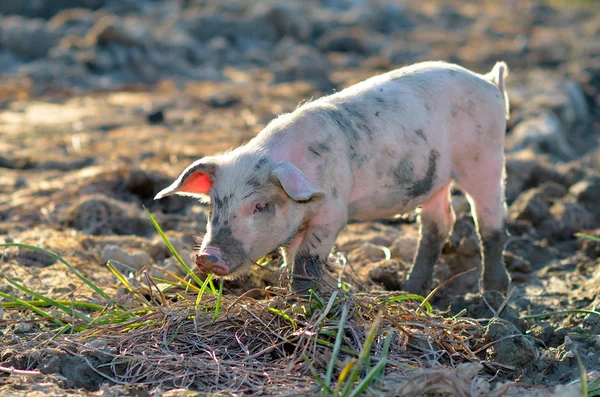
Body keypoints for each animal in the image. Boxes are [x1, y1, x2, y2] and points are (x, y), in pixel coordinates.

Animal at [155, 61, 510, 294]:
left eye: (260, 207)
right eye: (213, 207)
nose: (207, 256)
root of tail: (490, 81)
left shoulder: (334, 210)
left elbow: (307, 258)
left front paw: (302, 301)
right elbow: (290, 256)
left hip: (485, 157)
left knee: (491, 220)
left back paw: (493, 297)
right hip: (435, 180)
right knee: (440, 223)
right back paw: (411, 291)